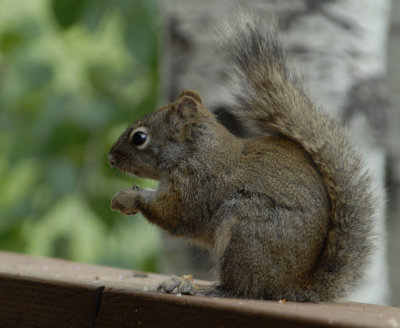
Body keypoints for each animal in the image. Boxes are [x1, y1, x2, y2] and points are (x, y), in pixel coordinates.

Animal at [108, 12, 376, 302]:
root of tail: (291, 285)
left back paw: (201, 288)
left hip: (245, 233)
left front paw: (128, 197)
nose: (110, 158)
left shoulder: (197, 185)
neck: (195, 152)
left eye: (139, 138)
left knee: (242, 288)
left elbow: (174, 214)